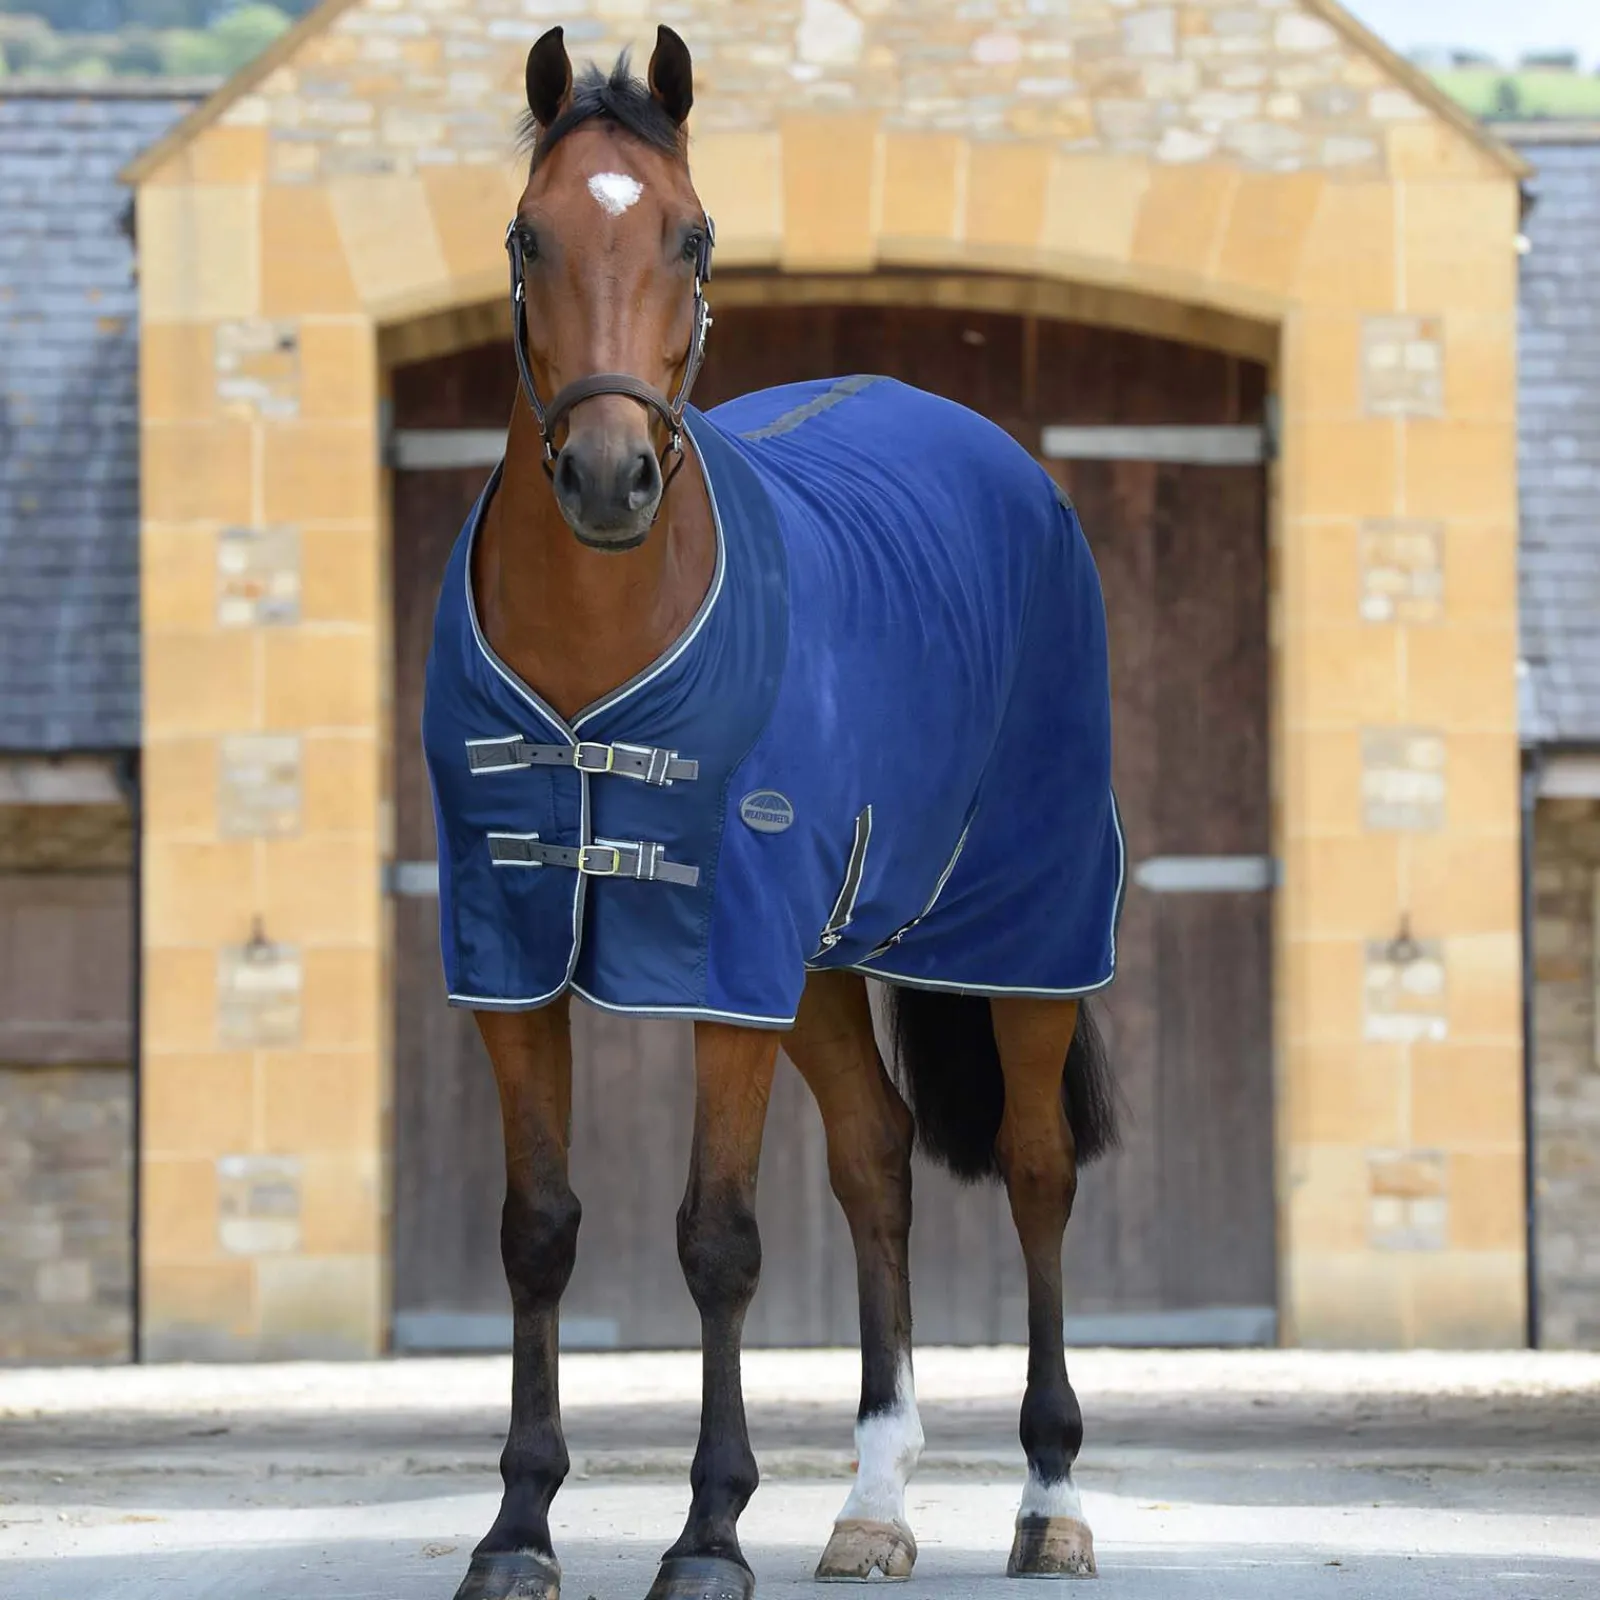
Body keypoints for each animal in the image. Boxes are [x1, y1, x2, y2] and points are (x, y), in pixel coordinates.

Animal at [421, 25, 1124, 1600]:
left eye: (692, 235)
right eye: (526, 233)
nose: (608, 478)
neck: (599, 654)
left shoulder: (719, 961)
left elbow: (719, 1240)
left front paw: (708, 1535)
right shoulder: (512, 952)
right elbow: (537, 1231)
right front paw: (517, 1528)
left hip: (1029, 933)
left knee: (1040, 1172)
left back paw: (1050, 1498)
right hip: (820, 963)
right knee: (875, 1165)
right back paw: (872, 1506)